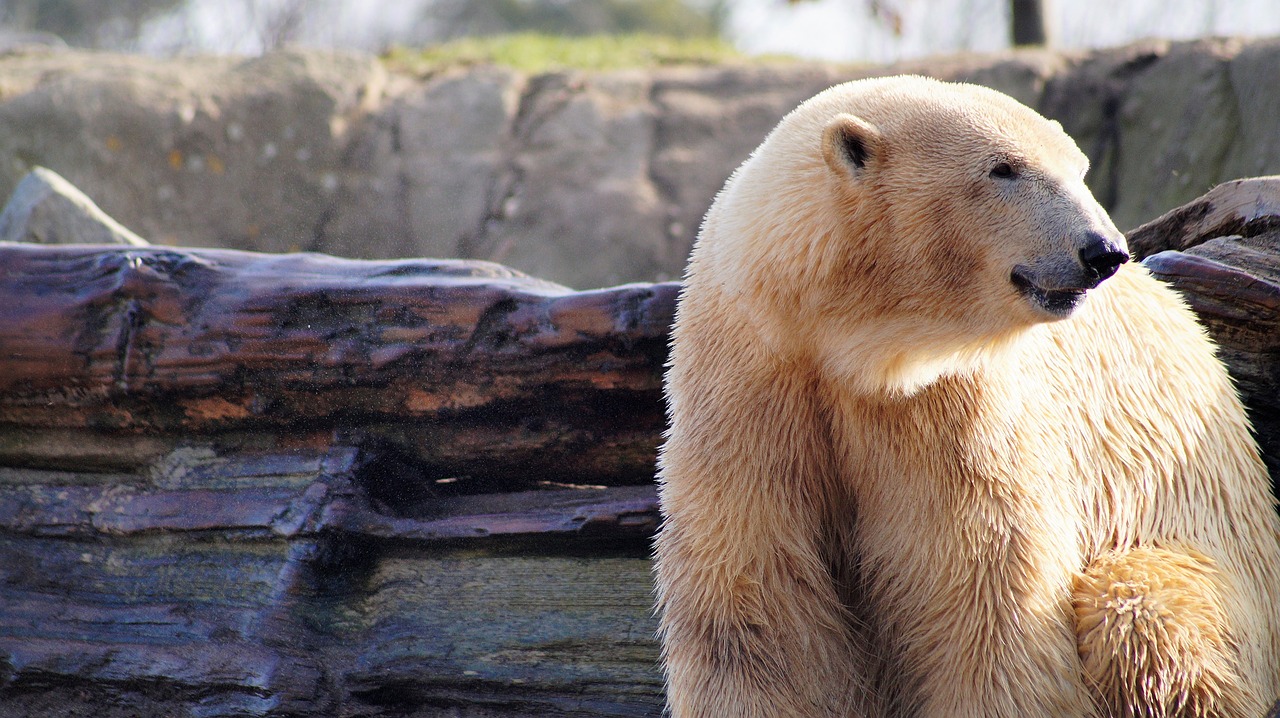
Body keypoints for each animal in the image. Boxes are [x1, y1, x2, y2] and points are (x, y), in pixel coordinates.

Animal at [655, 74, 1280, 716]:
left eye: (1078, 168)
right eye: (1004, 169)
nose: (1102, 251)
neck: (850, 345)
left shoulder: (957, 402)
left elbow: (980, 585)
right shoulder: (753, 378)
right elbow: (754, 599)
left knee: (1142, 615)